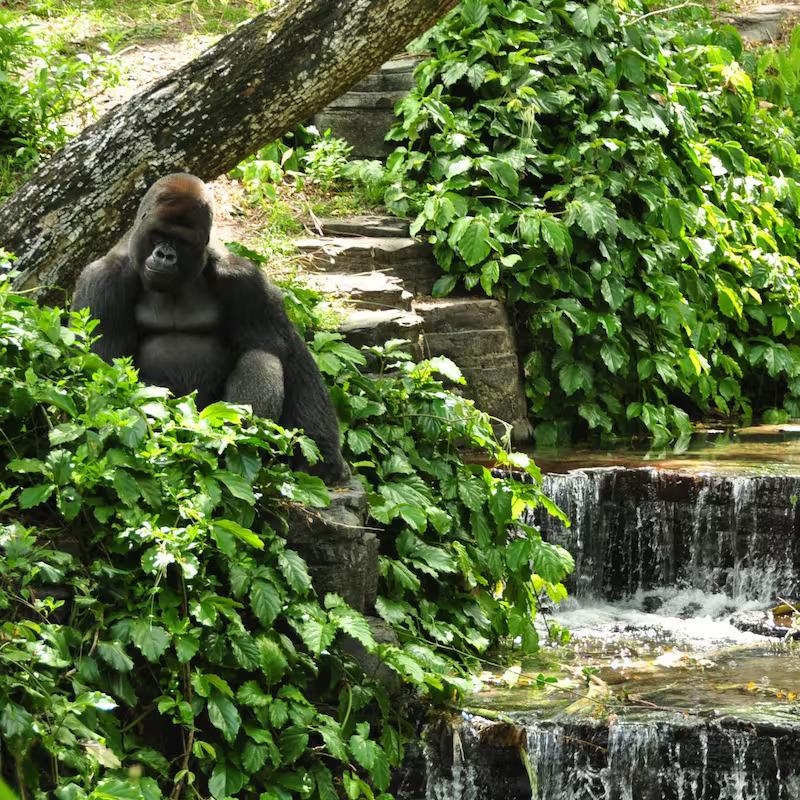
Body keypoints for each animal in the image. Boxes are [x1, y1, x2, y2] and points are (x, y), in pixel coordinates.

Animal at [72, 174, 350, 484]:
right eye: (158, 234)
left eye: (182, 242)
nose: (165, 255)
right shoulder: (102, 281)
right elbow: (104, 371)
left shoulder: (244, 279)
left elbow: (283, 349)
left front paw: (324, 455)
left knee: (262, 357)